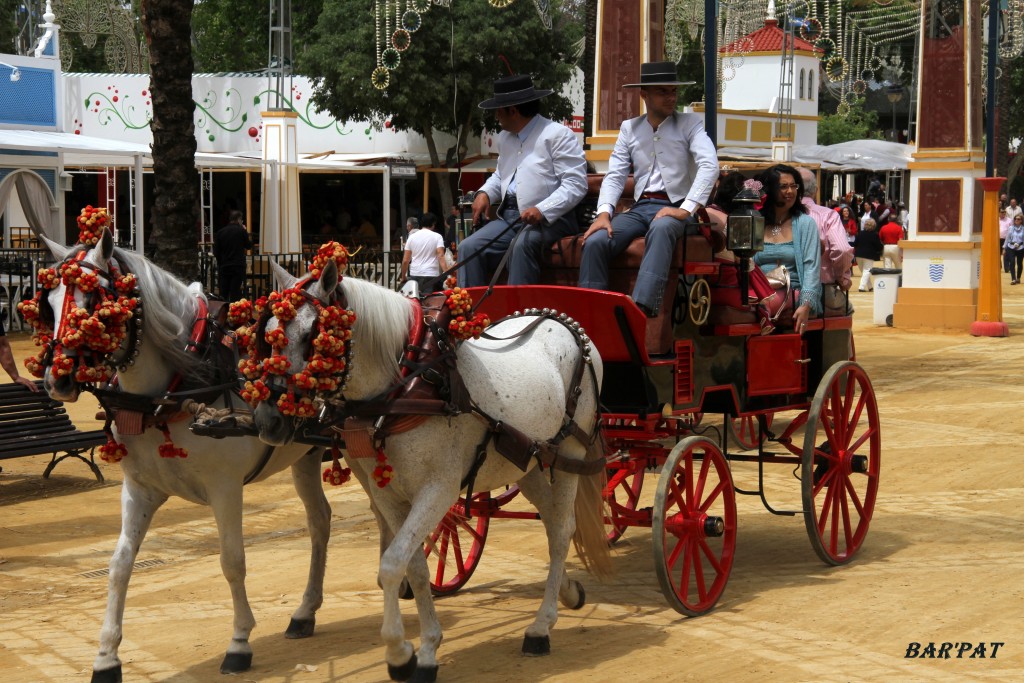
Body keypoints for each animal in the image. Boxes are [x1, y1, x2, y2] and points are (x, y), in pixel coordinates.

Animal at [38, 231, 331, 683]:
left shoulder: (225, 488)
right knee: (320, 521)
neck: (179, 385)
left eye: (96, 304)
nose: (57, 378)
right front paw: (106, 656)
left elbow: (232, 561)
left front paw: (239, 642)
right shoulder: (139, 490)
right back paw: (304, 612)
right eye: (49, 303)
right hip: (305, 455)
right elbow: (119, 565)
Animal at [252, 262, 610, 683]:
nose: (268, 421)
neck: (407, 384)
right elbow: (416, 567)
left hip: (570, 452)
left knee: (561, 531)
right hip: (530, 463)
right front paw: (424, 650)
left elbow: (393, 564)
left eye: (312, 334)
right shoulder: (388, 495)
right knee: (554, 523)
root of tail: (564, 322)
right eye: (267, 332)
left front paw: (398, 652)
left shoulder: (438, 490)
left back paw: (541, 627)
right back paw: (568, 592)